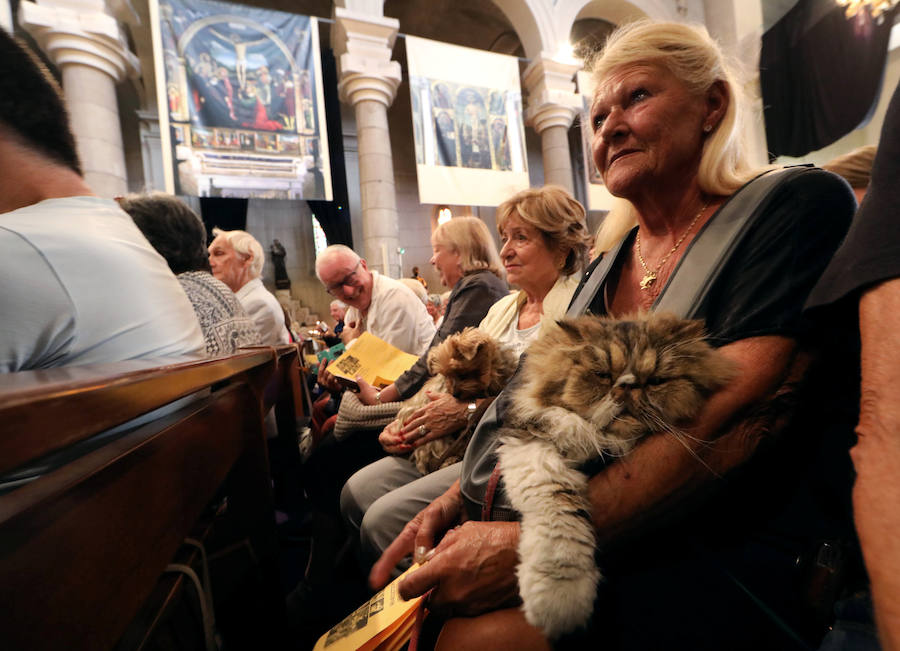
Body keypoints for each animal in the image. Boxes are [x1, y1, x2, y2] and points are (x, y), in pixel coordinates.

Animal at [496, 314, 736, 640]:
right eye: (602, 375)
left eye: (655, 381)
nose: (627, 386)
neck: (606, 441)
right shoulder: (530, 444)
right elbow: (559, 515)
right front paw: (559, 594)